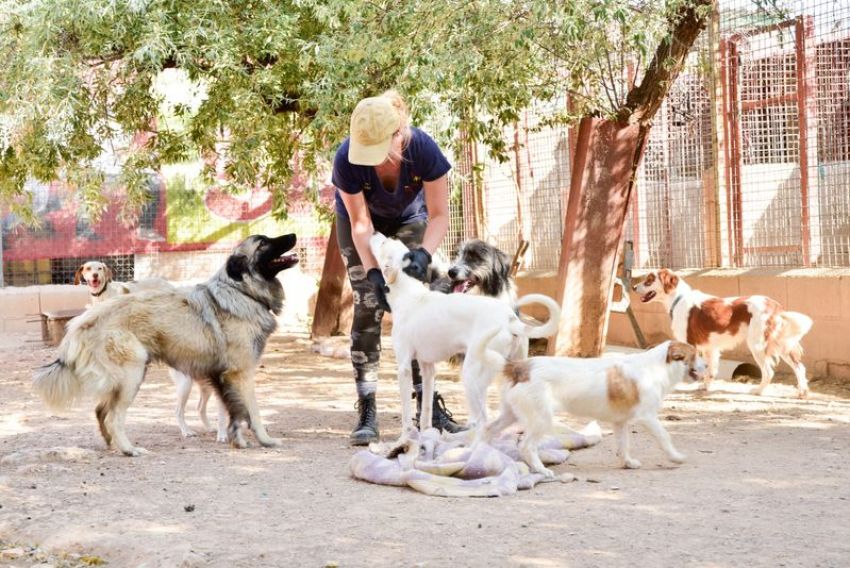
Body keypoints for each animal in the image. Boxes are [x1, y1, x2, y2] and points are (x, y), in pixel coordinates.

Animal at [33, 233, 298, 454]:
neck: (241, 291)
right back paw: (129, 450)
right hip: (133, 375)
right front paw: (265, 440)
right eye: (263, 243)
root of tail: (83, 321)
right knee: (113, 417)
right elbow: (252, 411)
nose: (294, 235)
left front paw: (237, 440)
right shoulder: (240, 373)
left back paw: (112, 444)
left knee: (100, 411)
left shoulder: (222, 376)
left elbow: (234, 412)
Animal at [368, 231, 560, 440]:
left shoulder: (404, 367)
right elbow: (426, 408)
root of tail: (510, 319)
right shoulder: (427, 369)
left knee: (483, 420)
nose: (375, 232)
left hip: (472, 375)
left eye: (385, 243)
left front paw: (405, 438)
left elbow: (405, 413)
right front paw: (426, 435)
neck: (409, 294)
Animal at [632, 270, 812, 394]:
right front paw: (705, 387)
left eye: (649, 279)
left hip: (757, 345)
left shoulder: (690, 344)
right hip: (780, 344)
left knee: (769, 371)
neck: (678, 299)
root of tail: (774, 305)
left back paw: (758, 391)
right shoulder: (710, 348)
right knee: (799, 366)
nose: (633, 287)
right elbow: (710, 371)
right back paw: (802, 392)